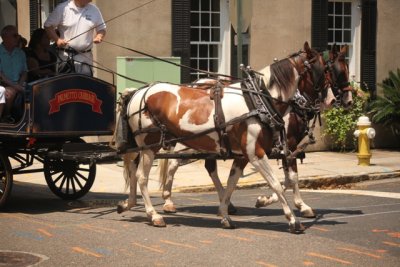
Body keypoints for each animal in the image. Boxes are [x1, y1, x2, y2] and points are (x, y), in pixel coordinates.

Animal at [117, 41, 332, 232]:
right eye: (324, 70)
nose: (332, 99)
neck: (258, 100)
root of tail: (138, 92)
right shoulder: (256, 153)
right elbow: (277, 184)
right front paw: (293, 220)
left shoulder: (243, 155)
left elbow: (231, 185)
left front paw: (225, 215)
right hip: (149, 145)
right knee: (142, 177)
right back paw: (153, 215)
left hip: (142, 147)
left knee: (134, 170)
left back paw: (128, 203)